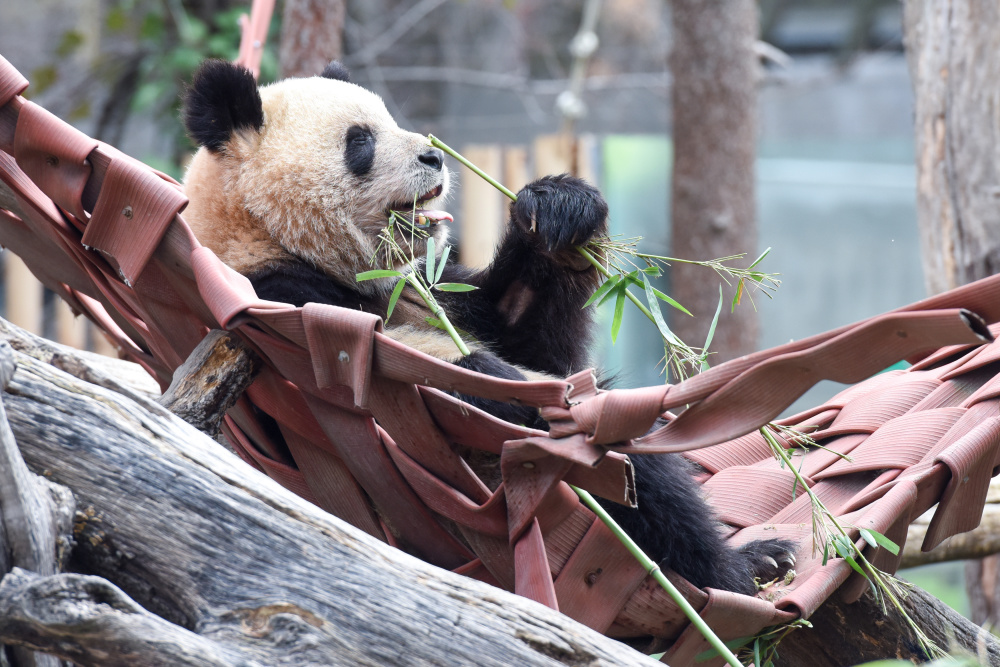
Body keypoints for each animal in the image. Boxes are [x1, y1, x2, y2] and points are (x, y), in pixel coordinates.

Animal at [178, 60, 788, 596]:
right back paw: (737, 572)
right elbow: (444, 379)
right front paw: (509, 390)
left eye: (390, 119)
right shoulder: (284, 298)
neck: (260, 232)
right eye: (360, 142)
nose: (433, 156)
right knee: (635, 471)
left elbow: (526, 335)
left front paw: (559, 210)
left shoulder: (427, 286)